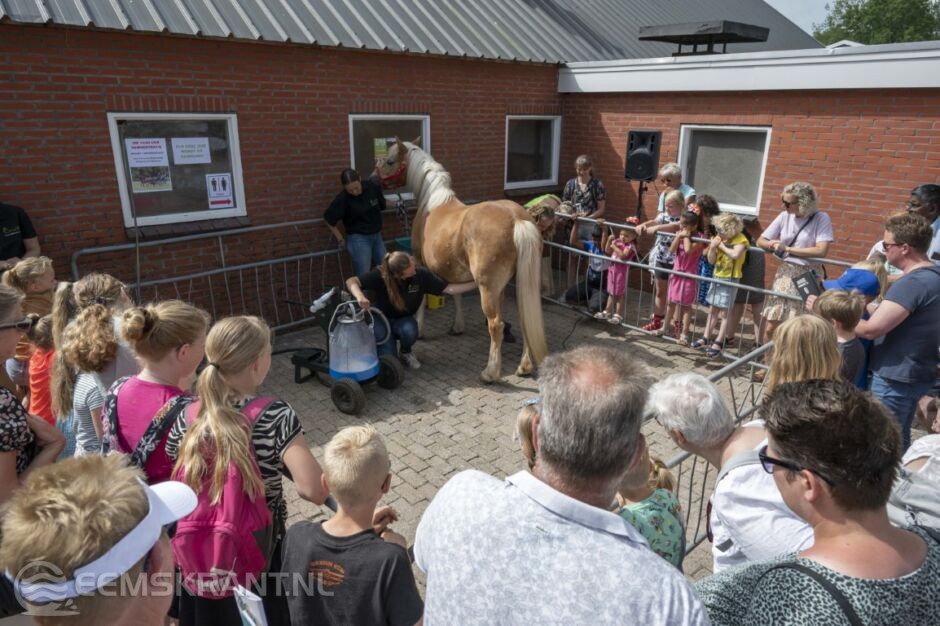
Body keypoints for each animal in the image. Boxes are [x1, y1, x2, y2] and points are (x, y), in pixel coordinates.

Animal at [376, 138, 552, 380]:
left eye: (390, 161)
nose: (374, 178)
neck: (432, 202)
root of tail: (517, 219)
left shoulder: (419, 264)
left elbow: (422, 299)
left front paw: (420, 330)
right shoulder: (453, 270)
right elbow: (456, 294)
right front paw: (457, 326)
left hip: (488, 288)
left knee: (495, 325)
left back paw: (490, 372)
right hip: (522, 282)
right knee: (525, 319)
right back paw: (524, 367)